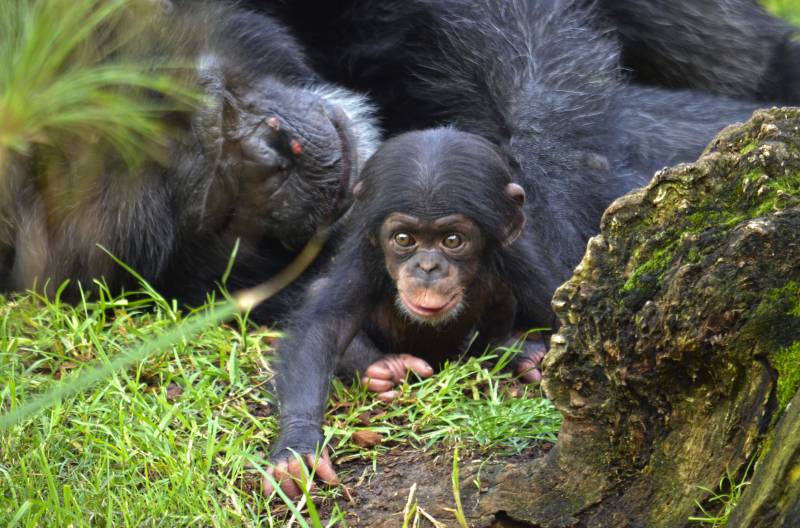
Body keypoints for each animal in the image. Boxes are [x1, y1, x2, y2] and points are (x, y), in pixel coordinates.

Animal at [262, 0, 764, 498]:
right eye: (404, 240)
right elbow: (323, 326)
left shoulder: (520, 255)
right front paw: (298, 448)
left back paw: (517, 351)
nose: (427, 267)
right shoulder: (365, 259)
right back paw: (384, 367)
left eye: (452, 240)